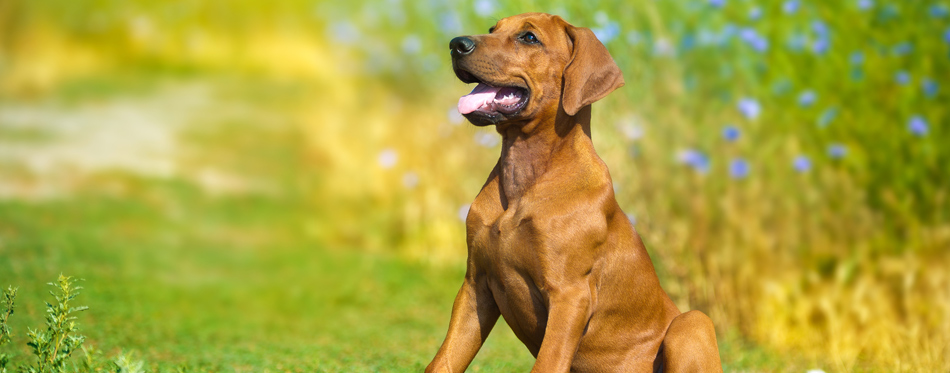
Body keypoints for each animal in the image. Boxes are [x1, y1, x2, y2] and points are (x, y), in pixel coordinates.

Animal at [428, 13, 724, 370]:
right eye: (492, 30)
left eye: (529, 38)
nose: (456, 44)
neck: (525, 174)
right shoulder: (475, 285)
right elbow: (444, 360)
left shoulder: (570, 294)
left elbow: (548, 362)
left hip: (693, 321)